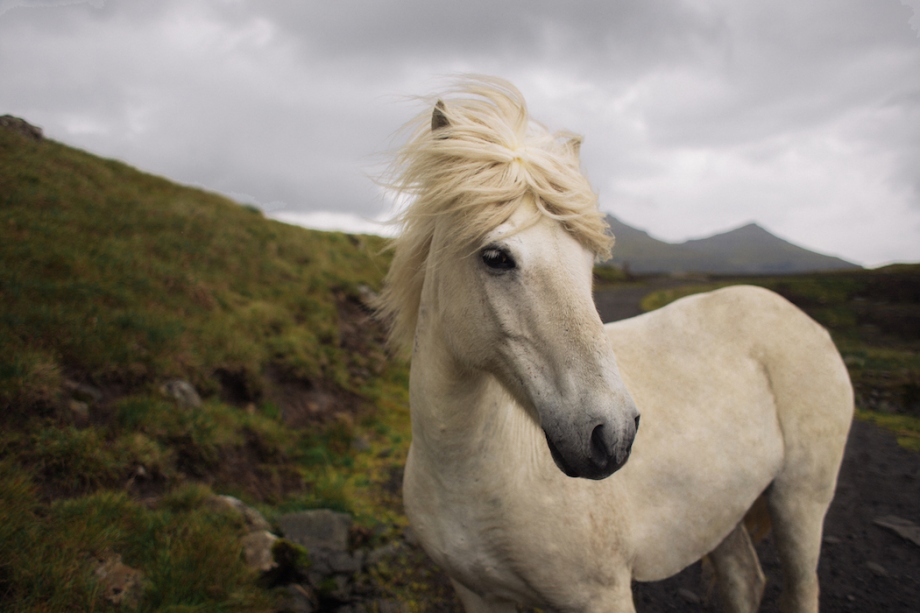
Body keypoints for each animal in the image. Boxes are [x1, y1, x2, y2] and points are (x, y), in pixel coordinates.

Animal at [378, 76, 852, 612]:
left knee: (802, 584)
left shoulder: (599, 596)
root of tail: (801, 318)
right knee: (743, 581)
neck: (466, 470)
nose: (613, 435)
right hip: (721, 514)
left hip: (801, 500)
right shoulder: (477, 594)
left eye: (588, 261)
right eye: (495, 256)